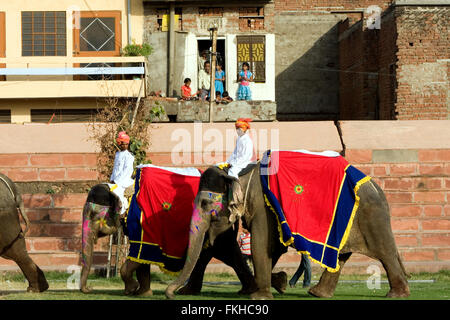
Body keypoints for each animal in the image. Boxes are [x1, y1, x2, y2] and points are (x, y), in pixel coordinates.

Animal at [166, 151, 412, 300]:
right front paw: (278, 282)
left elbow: (261, 244)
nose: (171, 293)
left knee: (384, 252)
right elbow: (242, 246)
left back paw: (397, 294)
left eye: (205, 203)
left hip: (371, 215)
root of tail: (375, 185)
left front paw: (260, 295)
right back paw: (317, 293)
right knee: (342, 256)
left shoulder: (261, 204)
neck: (239, 173)